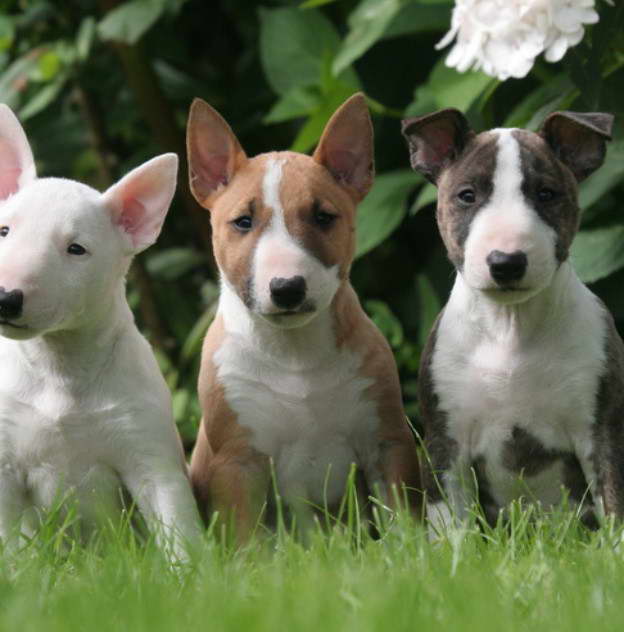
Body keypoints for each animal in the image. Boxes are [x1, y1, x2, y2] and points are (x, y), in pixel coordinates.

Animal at [0, 105, 200, 564]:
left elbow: (178, 531)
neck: (59, 365)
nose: (4, 297)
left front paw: (190, 577)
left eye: (76, 249)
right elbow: (15, 546)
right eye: (3, 231)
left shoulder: (151, 459)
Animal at [185, 94, 420, 540]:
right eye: (243, 221)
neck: (294, 351)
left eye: (323, 217)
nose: (287, 288)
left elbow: (403, 517)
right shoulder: (236, 462)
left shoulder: (386, 439)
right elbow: (246, 539)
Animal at [404, 110, 620, 532]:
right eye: (467, 195)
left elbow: (615, 504)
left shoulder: (601, 431)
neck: (510, 326)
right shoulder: (445, 442)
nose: (506, 262)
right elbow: (452, 527)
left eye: (546, 194)